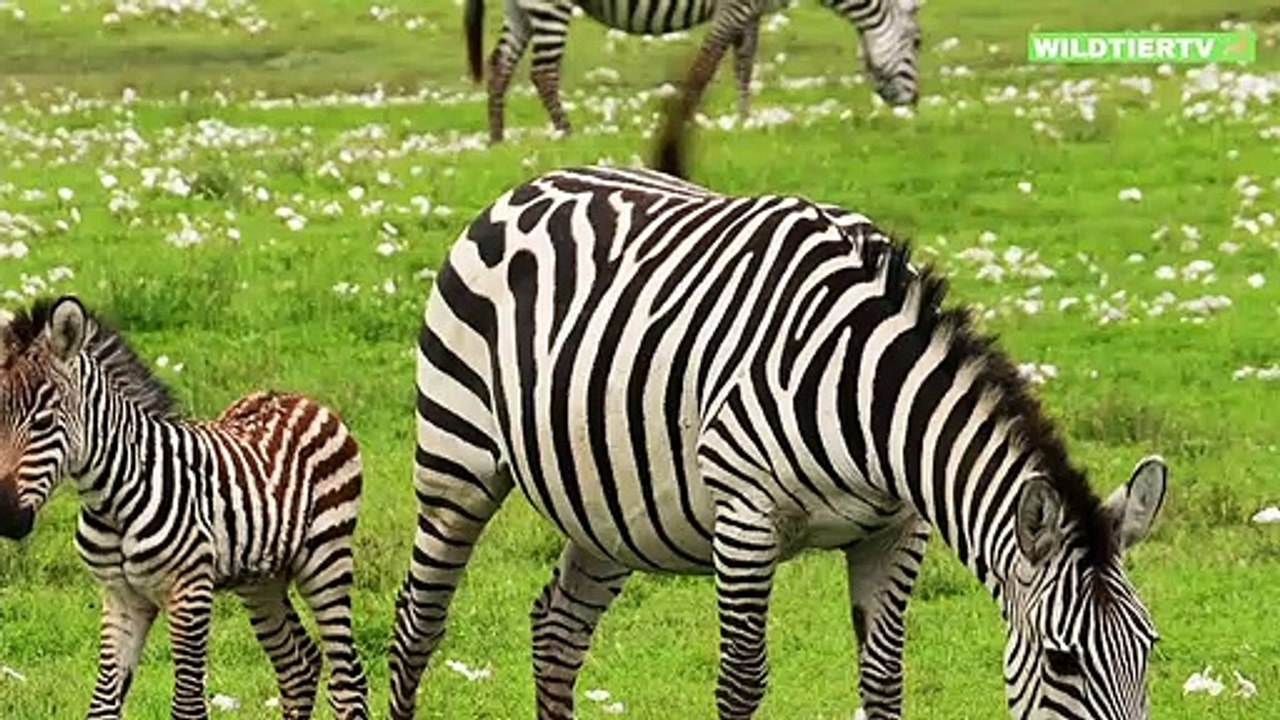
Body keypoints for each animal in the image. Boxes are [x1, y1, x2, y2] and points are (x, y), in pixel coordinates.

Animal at [0, 296, 369, 720]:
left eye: (44, 422)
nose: (5, 516)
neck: (113, 499)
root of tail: (300, 398)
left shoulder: (189, 592)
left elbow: (187, 706)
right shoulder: (121, 597)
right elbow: (103, 705)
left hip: (326, 559)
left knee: (348, 680)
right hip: (261, 578)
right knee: (298, 665)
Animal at [385, 161, 1168, 718]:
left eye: (1149, 648)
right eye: (1063, 661)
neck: (871, 395)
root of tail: (528, 184)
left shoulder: (898, 530)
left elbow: (883, 680)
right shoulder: (746, 518)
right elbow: (742, 681)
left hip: (606, 507)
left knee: (558, 630)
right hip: (457, 460)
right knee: (417, 623)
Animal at [466, 0, 922, 143]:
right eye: (918, 43)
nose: (914, 104)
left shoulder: (751, 12)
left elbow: (744, 62)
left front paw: (744, 117)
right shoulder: (736, 7)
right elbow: (708, 62)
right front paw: (690, 115)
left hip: (520, 8)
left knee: (500, 64)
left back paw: (497, 138)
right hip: (549, 4)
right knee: (542, 72)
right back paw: (566, 131)